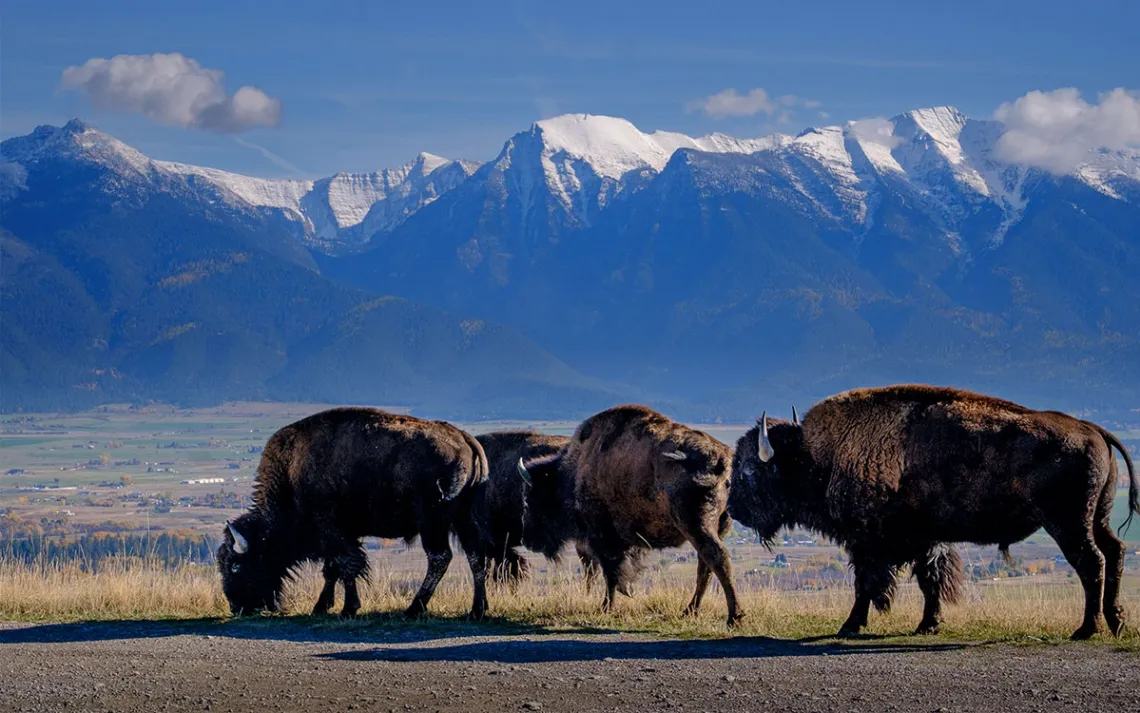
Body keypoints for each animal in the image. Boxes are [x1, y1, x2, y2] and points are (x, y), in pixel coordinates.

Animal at [216, 407, 491, 619]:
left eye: (236, 566)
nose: (236, 607)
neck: (290, 477)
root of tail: (465, 439)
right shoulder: (340, 536)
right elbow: (332, 570)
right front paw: (322, 607)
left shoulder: (333, 532)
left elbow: (347, 566)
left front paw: (348, 609)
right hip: (462, 519)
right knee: (476, 556)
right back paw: (476, 611)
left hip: (432, 522)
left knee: (440, 557)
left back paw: (414, 609)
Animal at [518, 405, 744, 627]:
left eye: (532, 498)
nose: (528, 539)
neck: (574, 469)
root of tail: (722, 460)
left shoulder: (604, 538)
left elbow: (611, 573)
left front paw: (607, 607)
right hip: (719, 525)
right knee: (705, 566)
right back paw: (690, 611)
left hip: (695, 525)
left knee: (716, 558)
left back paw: (734, 618)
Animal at [728, 384, 1139, 639]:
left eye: (749, 471)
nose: (732, 510)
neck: (818, 456)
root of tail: (1092, 429)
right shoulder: (926, 540)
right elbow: (930, 581)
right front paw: (928, 625)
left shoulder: (868, 543)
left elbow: (866, 585)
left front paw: (850, 625)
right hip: (1096, 518)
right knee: (1115, 553)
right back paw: (1116, 623)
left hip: (1068, 525)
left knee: (1092, 563)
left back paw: (1087, 629)